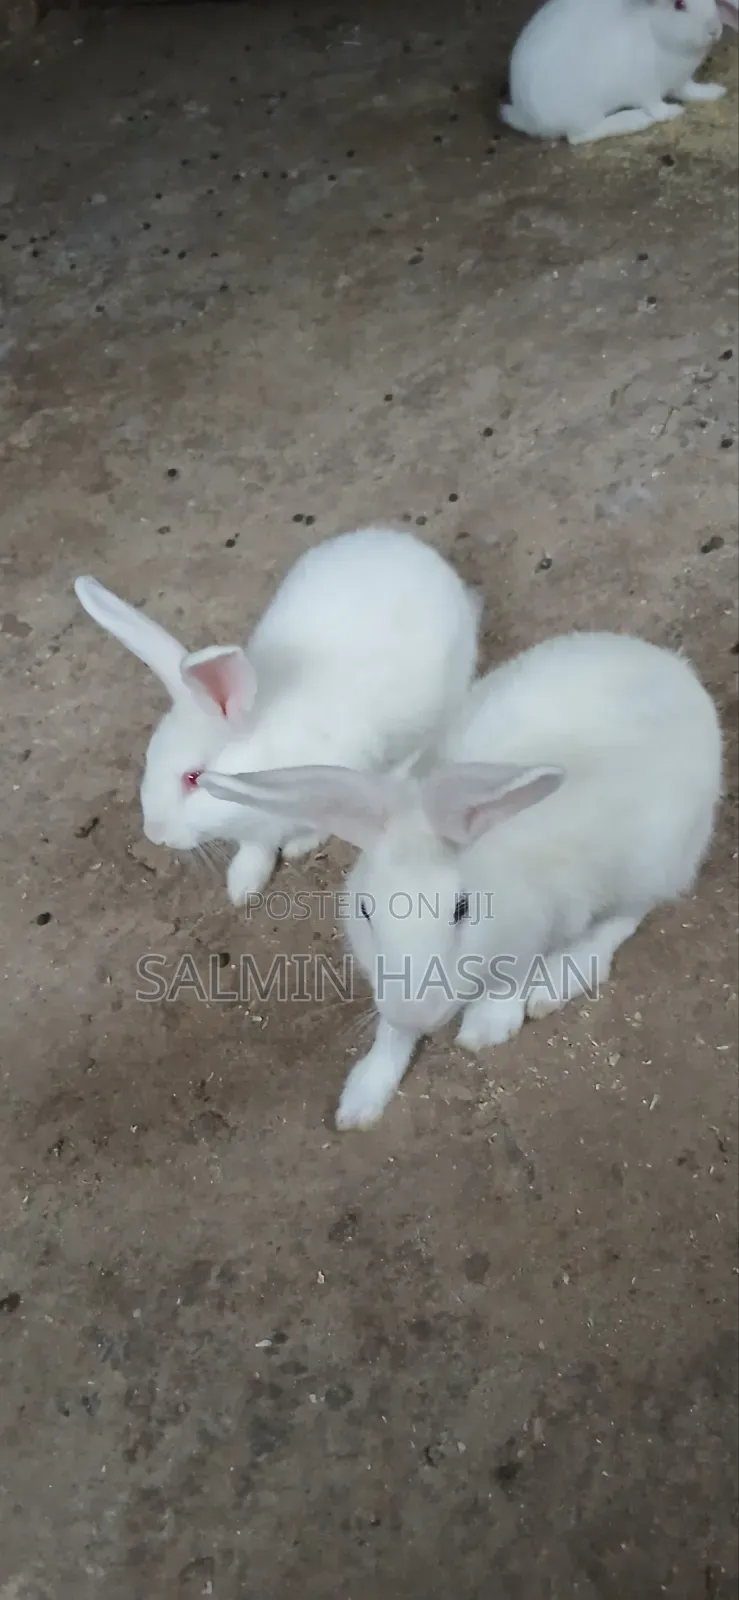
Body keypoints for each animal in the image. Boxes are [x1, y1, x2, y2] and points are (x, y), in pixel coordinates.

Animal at [74, 527, 481, 904]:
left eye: (193, 777)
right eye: (150, 757)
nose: (156, 834)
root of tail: (419, 551)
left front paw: (300, 845)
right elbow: (256, 849)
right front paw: (243, 885)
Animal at [200, 631, 722, 1129]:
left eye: (462, 908)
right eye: (366, 910)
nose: (418, 1011)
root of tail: (678, 672)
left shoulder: (536, 926)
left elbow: (512, 978)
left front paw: (485, 1027)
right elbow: (391, 1036)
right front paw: (361, 1101)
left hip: (652, 858)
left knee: (628, 916)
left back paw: (558, 980)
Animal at [500, 0, 728, 146]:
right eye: (679, 5)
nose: (715, 30)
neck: (656, 30)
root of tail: (527, 117)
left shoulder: (681, 80)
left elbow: (690, 90)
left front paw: (714, 92)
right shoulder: (645, 87)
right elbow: (656, 107)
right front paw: (672, 112)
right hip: (583, 111)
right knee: (579, 137)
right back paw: (635, 120)